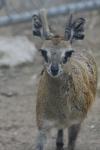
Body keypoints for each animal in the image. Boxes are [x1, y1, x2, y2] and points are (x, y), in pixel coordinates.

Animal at [32, 9, 97, 150]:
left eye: (68, 52)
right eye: (43, 51)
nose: (54, 69)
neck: (61, 111)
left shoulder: (77, 121)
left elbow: (71, 144)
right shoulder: (43, 124)